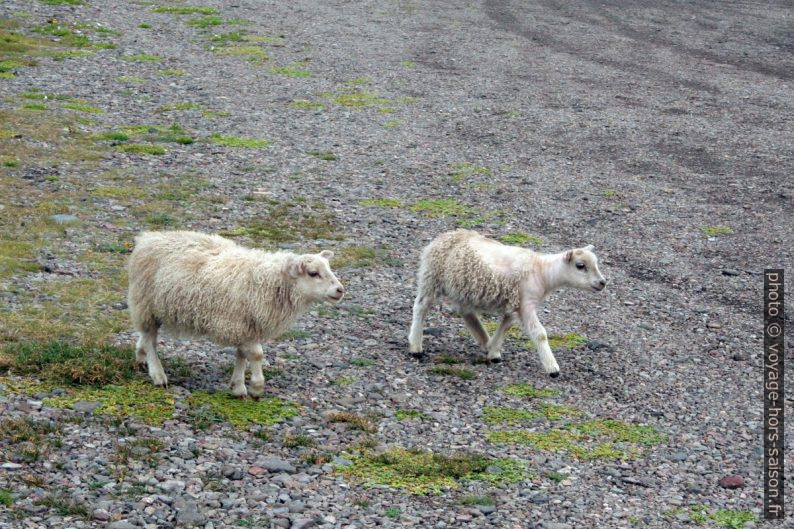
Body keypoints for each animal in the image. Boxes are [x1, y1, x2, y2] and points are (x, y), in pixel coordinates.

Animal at [127, 231, 344, 396]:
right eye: (313, 273)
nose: (340, 290)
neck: (270, 281)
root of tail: (148, 238)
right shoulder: (239, 322)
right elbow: (256, 354)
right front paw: (256, 388)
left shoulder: (246, 325)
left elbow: (242, 355)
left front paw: (238, 386)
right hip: (146, 303)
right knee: (150, 339)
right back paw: (158, 374)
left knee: (146, 336)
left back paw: (140, 356)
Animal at [406, 230, 604, 376]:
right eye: (580, 265)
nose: (603, 282)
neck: (543, 272)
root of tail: (444, 236)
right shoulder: (526, 303)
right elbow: (539, 334)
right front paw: (552, 368)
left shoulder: (515, 303)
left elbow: (506, 326)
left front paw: (493, 350)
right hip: (432, 277)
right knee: (421, 306)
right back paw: (415, 346)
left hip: (463, 288)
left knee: (467, 313)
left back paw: (484, 340)